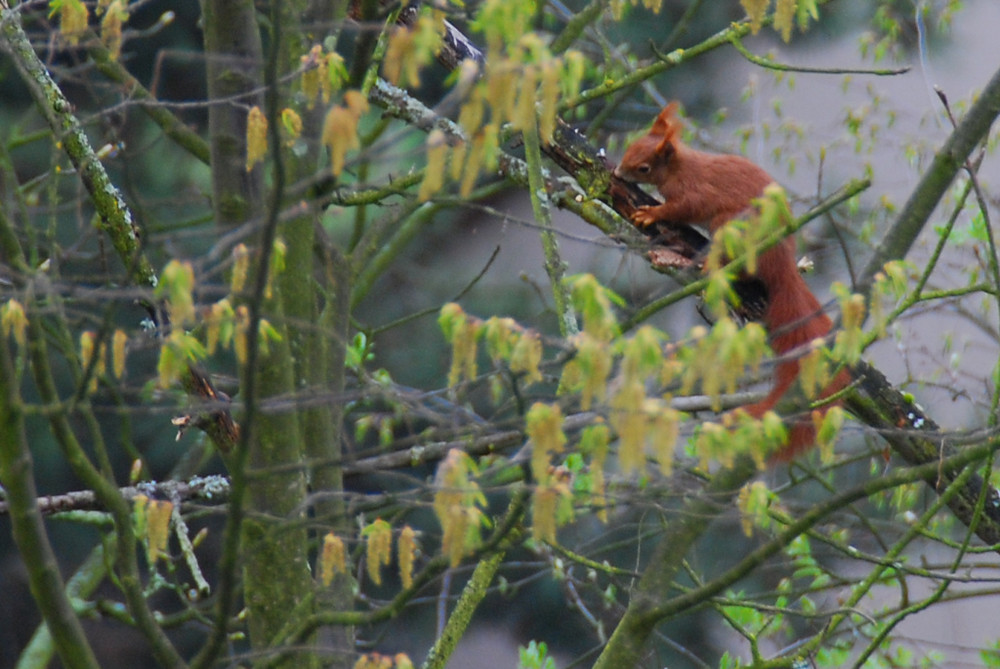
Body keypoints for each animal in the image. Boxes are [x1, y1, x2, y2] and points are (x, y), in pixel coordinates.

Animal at [612, 102, 848, 460]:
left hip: (731, 227)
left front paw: (652, 214)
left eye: (644, 167)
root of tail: (782, 266)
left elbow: (681, 208)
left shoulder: (695, 192)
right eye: (631, 144)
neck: (680, 168)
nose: (617, 173)